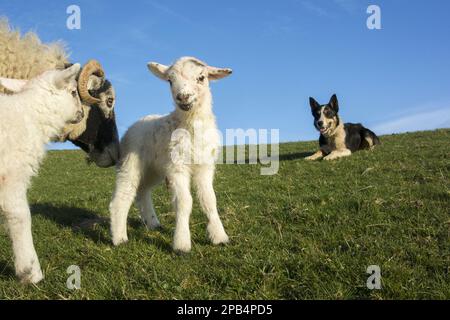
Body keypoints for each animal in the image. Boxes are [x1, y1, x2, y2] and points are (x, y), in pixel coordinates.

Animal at [0, 63, 82, 282]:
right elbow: (21, 216)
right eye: (73, 92)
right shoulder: (13, 175)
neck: (31, 115)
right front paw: (30, 271)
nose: (81, 113)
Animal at [109, 57, 232, 252]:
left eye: (201, 77)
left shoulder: (205, 167)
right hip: (130, 161)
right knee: (124, 195)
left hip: (154, 169)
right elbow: (184, 202)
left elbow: (209, 200)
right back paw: (120, 238)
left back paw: (153, 223)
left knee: (142, 191)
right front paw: (181, 244)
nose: (183, 97)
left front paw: (219, 237)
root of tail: (139, 121)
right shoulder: (177, 167)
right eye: (170, 81)